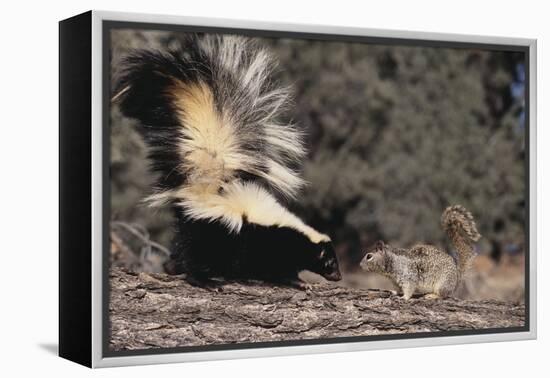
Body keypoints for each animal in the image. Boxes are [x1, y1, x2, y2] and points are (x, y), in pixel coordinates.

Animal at [114, 34, 342, 286]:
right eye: (330, 262)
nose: (338, 276)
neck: (293, 233)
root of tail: (203, 186)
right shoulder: (261, 240)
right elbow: (271, 266)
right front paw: (291, 281)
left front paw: (293, 279)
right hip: (211, 230)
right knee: (195, 254)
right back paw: (203, 279)